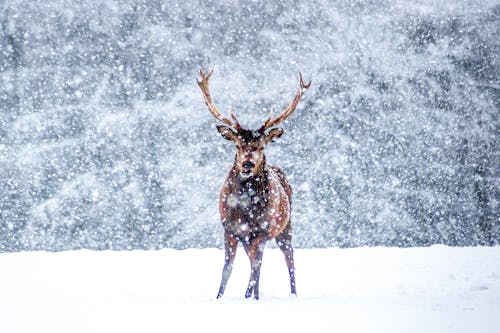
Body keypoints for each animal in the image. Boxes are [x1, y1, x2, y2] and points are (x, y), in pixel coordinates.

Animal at [197, 68, 310, 298]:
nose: (247, 164)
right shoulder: (230, 229)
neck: (244, 209)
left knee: (288, 257)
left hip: (284, 226)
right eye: (238, 145)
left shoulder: (262, 231)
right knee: (253, 262)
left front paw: (252, 298)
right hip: (249, 238)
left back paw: (292, 293)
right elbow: (227, 269)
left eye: (261, 146)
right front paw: (219, 297)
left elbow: (256, 270)